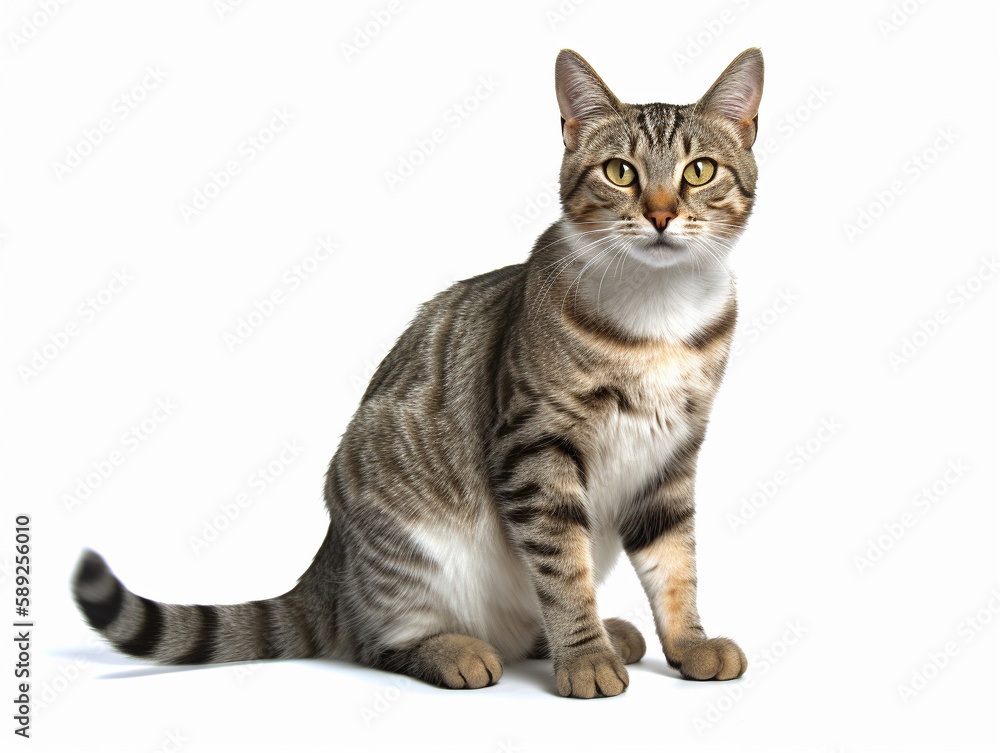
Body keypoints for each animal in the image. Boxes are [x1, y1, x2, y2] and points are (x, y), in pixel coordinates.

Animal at [74, 48, 764, 700]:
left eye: (699, 170)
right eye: (620, 172)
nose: (661, 214)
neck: (661, 317)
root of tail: (330, 567)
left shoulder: (672, 456)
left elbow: (675, 562)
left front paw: (688, 643)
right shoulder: (535, 448)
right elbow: (563, 571)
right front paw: (585, 657)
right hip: (405, 542)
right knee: (378, 640)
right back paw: (460, 650)